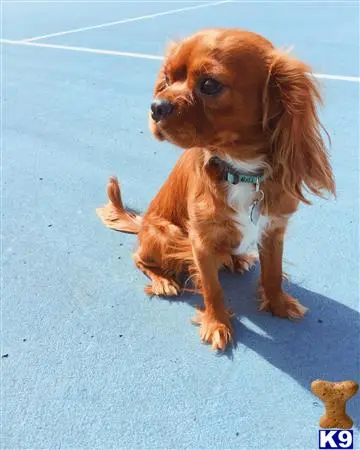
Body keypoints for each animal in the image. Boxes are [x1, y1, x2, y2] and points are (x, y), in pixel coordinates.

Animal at [97, 28, 336, 352]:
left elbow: (273, 274)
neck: (241, 171)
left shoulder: (273, 230)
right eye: (167, 79)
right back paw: (163, 280)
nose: (156, 106)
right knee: (140, 258)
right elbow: (212, 288)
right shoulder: (199, 241)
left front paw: (279, 304)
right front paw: (217, 324)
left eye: (209, 84)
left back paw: (236, 259)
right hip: (167, 233)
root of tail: (143, 223)